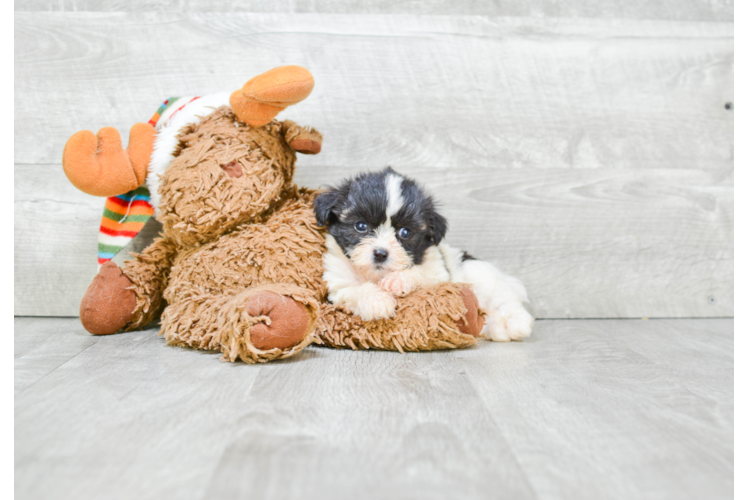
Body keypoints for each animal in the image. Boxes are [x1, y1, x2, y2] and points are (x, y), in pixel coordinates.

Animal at [312, 166, 536, 342]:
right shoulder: (337, 283)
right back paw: (496, 328)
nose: (381, 254)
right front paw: (378, 301)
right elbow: (354, 290)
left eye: (405, 233)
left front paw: (398, 281)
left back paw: (517, 323)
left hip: (484, 278)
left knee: (505, 300)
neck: (376, 275)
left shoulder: (438, 271)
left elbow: (421, 274)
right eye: (360, 226)